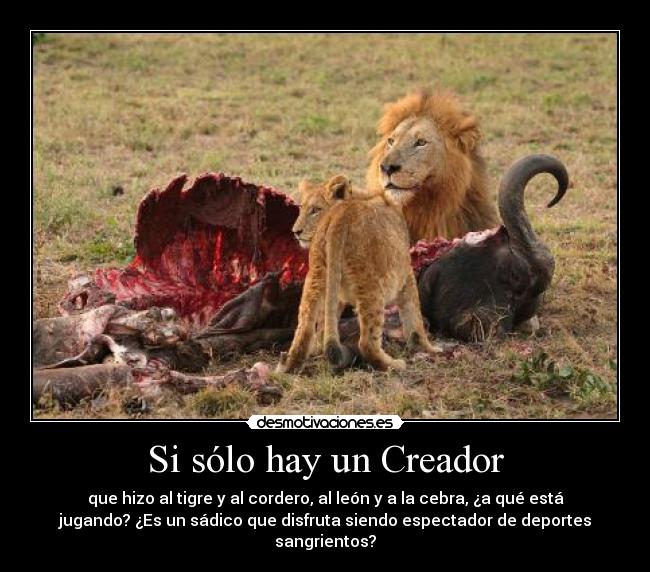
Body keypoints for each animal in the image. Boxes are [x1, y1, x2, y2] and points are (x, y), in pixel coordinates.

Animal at [276, 174, 438, 373]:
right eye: (302, 209)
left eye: (314, 210)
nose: (295, 232)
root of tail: (340, 214)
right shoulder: (406, 273)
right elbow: (414, 317)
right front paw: (429, 348)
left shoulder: (335, 292)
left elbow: (324, 325)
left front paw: (319, 349)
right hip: (371, 284)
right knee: (367, 343)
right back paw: (393, 365)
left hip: (316, 276)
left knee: (304, 328)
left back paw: (289, 365)